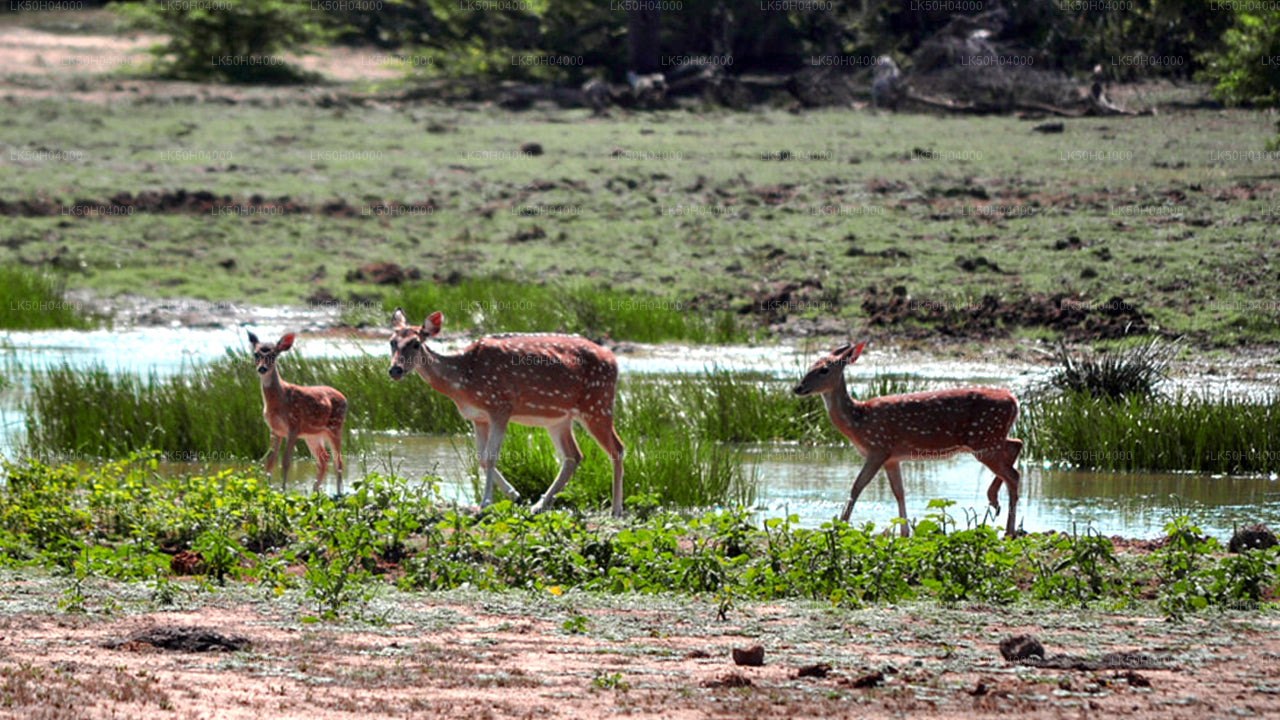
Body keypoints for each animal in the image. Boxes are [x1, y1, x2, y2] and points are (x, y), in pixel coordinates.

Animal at [247, 330, 348, 491]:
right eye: (255, 354)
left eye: (274, 355)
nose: (262, 368)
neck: (277, 401)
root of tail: (344, 397)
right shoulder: (275, 430)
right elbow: (269, 461)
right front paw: (267, 489)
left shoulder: (293, 426)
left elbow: (285, 461)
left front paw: (283, 490)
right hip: (312, 435)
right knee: (323, 458)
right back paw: (315, 490)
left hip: (335, 427)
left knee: (338, 461)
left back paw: (338, 493)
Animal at [386, 308, 627, 515]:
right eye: (392, 342)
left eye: (416, 343)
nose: (395, 369)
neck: (462, 380)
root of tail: (614, 360)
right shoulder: (477, 417)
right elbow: (481, 458)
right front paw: (514, 495)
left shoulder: (500, 406)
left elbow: (491, 456)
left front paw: (485, 503)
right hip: (559, 418)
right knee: (573, 456)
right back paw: (538, 505)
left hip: (597, 403)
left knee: (617, 448)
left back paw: (616, 510)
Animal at [793, 340, 1024, 532]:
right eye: (810, 365)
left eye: (824, 369)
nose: (798, 387)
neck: (858, 421)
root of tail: (1014, 401)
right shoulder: (892, 458)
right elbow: (899, 492)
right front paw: (904, 533)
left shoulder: (878, 448)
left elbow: (857, 486)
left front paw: (839, 528)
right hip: (991, 438)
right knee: (1016, 444)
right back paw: (995, 502)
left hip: (984, 440)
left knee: (1013, 474)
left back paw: (1008, 529)